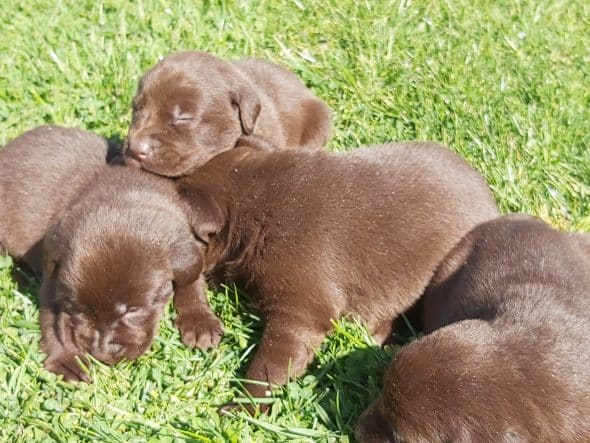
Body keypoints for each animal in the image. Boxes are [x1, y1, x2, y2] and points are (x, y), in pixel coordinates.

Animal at [40, 168, 223, 384]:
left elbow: (192, 279)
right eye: (76, 308)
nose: (100, 353)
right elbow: (52, 319)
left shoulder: (191, 247)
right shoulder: (52, 276)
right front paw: (66, 359)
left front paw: (199, 321)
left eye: (134, 310)